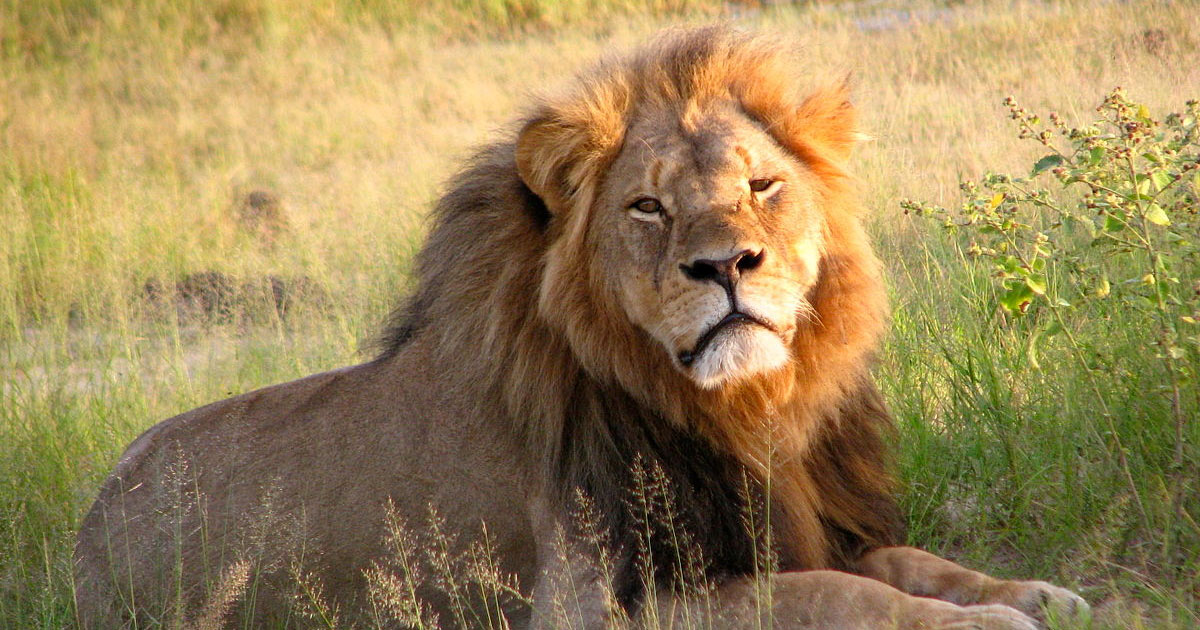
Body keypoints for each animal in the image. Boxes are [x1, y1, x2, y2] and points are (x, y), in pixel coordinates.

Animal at [74, 27, 1088, 630]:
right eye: (648, 207)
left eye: (762, 184)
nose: (727, 265)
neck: (744, 410)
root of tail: (86, 528)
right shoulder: (600, 605)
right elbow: (834, 595)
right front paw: (988, 622)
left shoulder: (795, 518)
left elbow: (908, 561)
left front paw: (1032, 592)